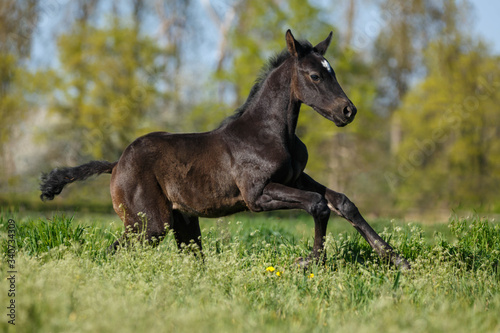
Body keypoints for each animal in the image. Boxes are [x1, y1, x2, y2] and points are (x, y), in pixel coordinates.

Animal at [40, 30, 410, 270]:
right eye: (315, 76)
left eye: (330, 71)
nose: (348, 111)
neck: (271, 132)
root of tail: (116, 163)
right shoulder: (257, 195)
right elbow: (318, 205)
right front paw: (308, 261)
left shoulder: (296, 177)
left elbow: (342, 202)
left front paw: (398, 260)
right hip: (149, 225)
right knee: (114, 251)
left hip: (184, 224)